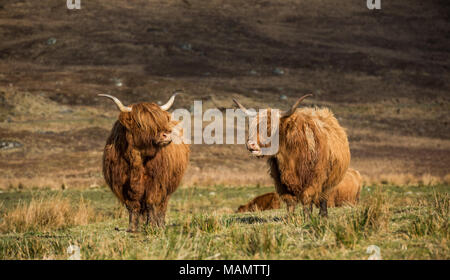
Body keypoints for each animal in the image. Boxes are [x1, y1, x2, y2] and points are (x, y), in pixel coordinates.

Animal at [99, 92, 189, 232]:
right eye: (141, 124)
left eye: (160, 120)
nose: (166, 135)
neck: (138, 159)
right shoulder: (123, 183)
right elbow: (132, 205)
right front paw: (132, 228)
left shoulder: (156, 182)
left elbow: (151, 202)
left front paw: (152, 226)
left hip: (168, 187)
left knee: (162, 206)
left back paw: (160, 224)